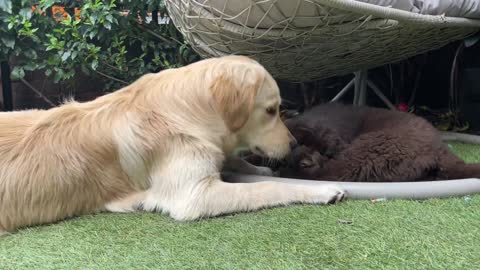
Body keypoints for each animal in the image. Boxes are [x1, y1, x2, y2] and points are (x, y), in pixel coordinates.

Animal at [0, 56, 344, 235]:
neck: (186, 110)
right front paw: (321, 191)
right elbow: (269, 188)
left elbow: (237, 162)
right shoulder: (193, 196)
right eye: (272, 110)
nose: (293, 143)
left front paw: (255, 167)